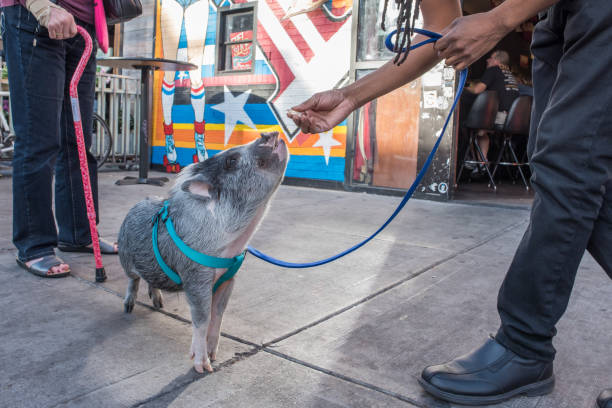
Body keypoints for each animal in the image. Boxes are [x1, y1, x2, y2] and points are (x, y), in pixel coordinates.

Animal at [120, 131, 290, 372]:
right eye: (231, 161)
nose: (269, 133)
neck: (229, 246)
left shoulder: (229, 278)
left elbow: (217, 314)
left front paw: (214, 356)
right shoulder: (195, 275)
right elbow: (201, 318)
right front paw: (203, 366)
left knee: (151, 281)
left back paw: (159, 304)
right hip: (125, 256)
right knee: (133, 280)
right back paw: (128, 308)